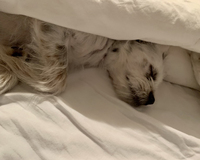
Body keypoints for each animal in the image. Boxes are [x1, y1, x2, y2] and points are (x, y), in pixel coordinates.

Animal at [0, 11, 168, 107]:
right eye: (152, 72)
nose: (152, 100)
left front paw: (16, 61)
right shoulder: (52, 28)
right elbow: (57, 83)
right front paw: (13, 66)